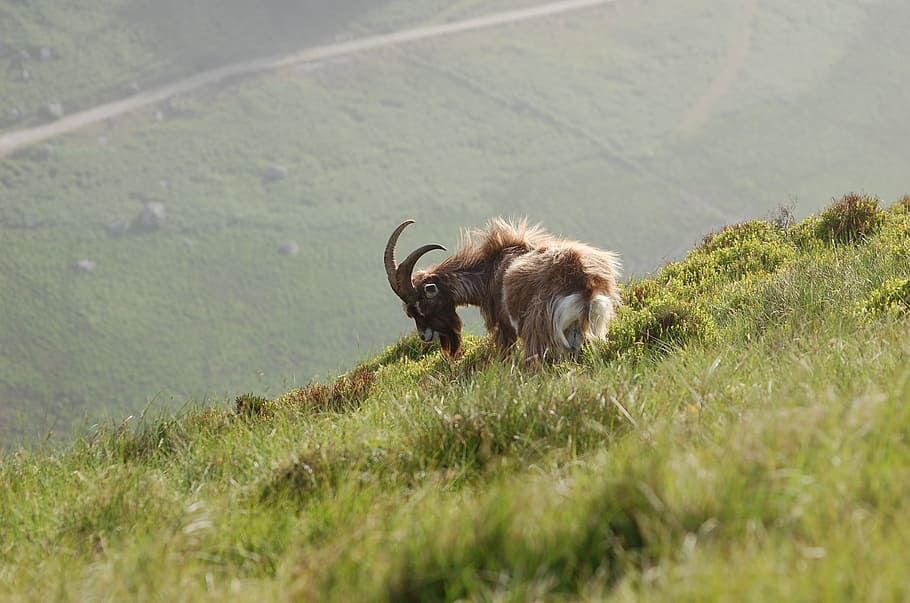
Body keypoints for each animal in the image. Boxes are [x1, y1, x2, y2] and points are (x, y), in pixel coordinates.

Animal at [384, 218, 622, 361]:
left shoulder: (504, 327)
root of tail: (586, 284)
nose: (424, 336)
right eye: (410, 312)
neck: (489, 272)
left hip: (538, 327)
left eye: (422, 306)